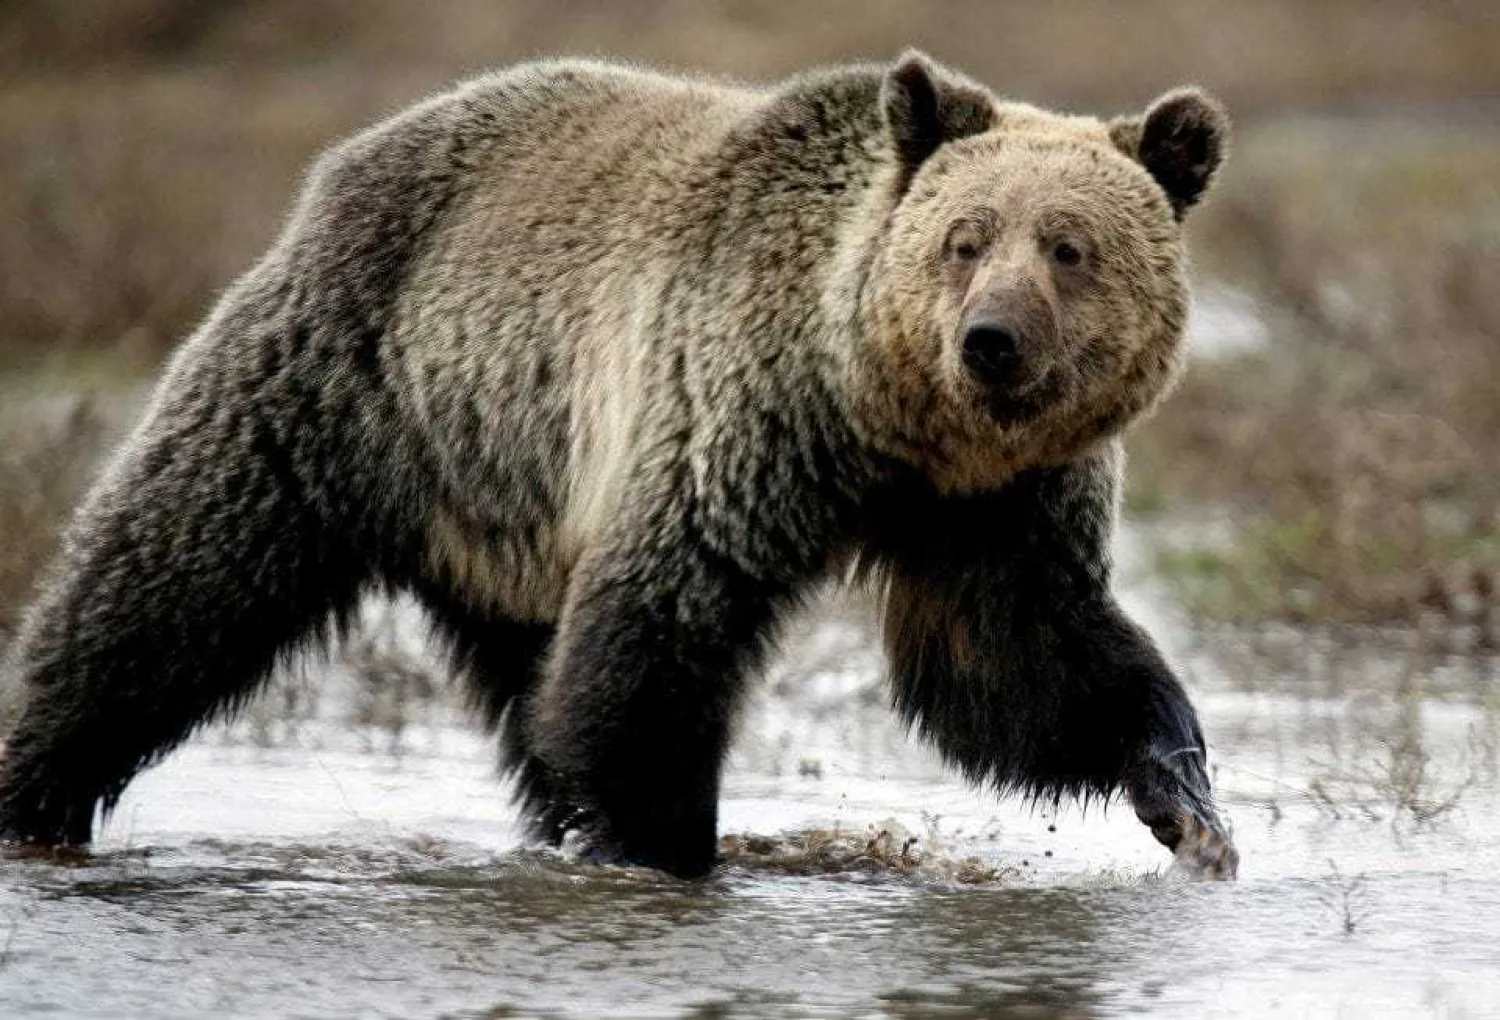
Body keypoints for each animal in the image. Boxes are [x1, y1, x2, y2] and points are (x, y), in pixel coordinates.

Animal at [0, 52, 1236, 879]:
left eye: (1069, 248)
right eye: (965, 238)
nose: (991, 340)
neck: (889, 423)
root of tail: (349, 156)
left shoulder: (996, 505)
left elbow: (1016, 662)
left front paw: (1186, 796)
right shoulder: (738, 415)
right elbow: (661, 628)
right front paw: (666, 844)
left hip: (506, 501)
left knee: (529, 681)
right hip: (344, 383)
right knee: (170, 582)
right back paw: (36, 789)